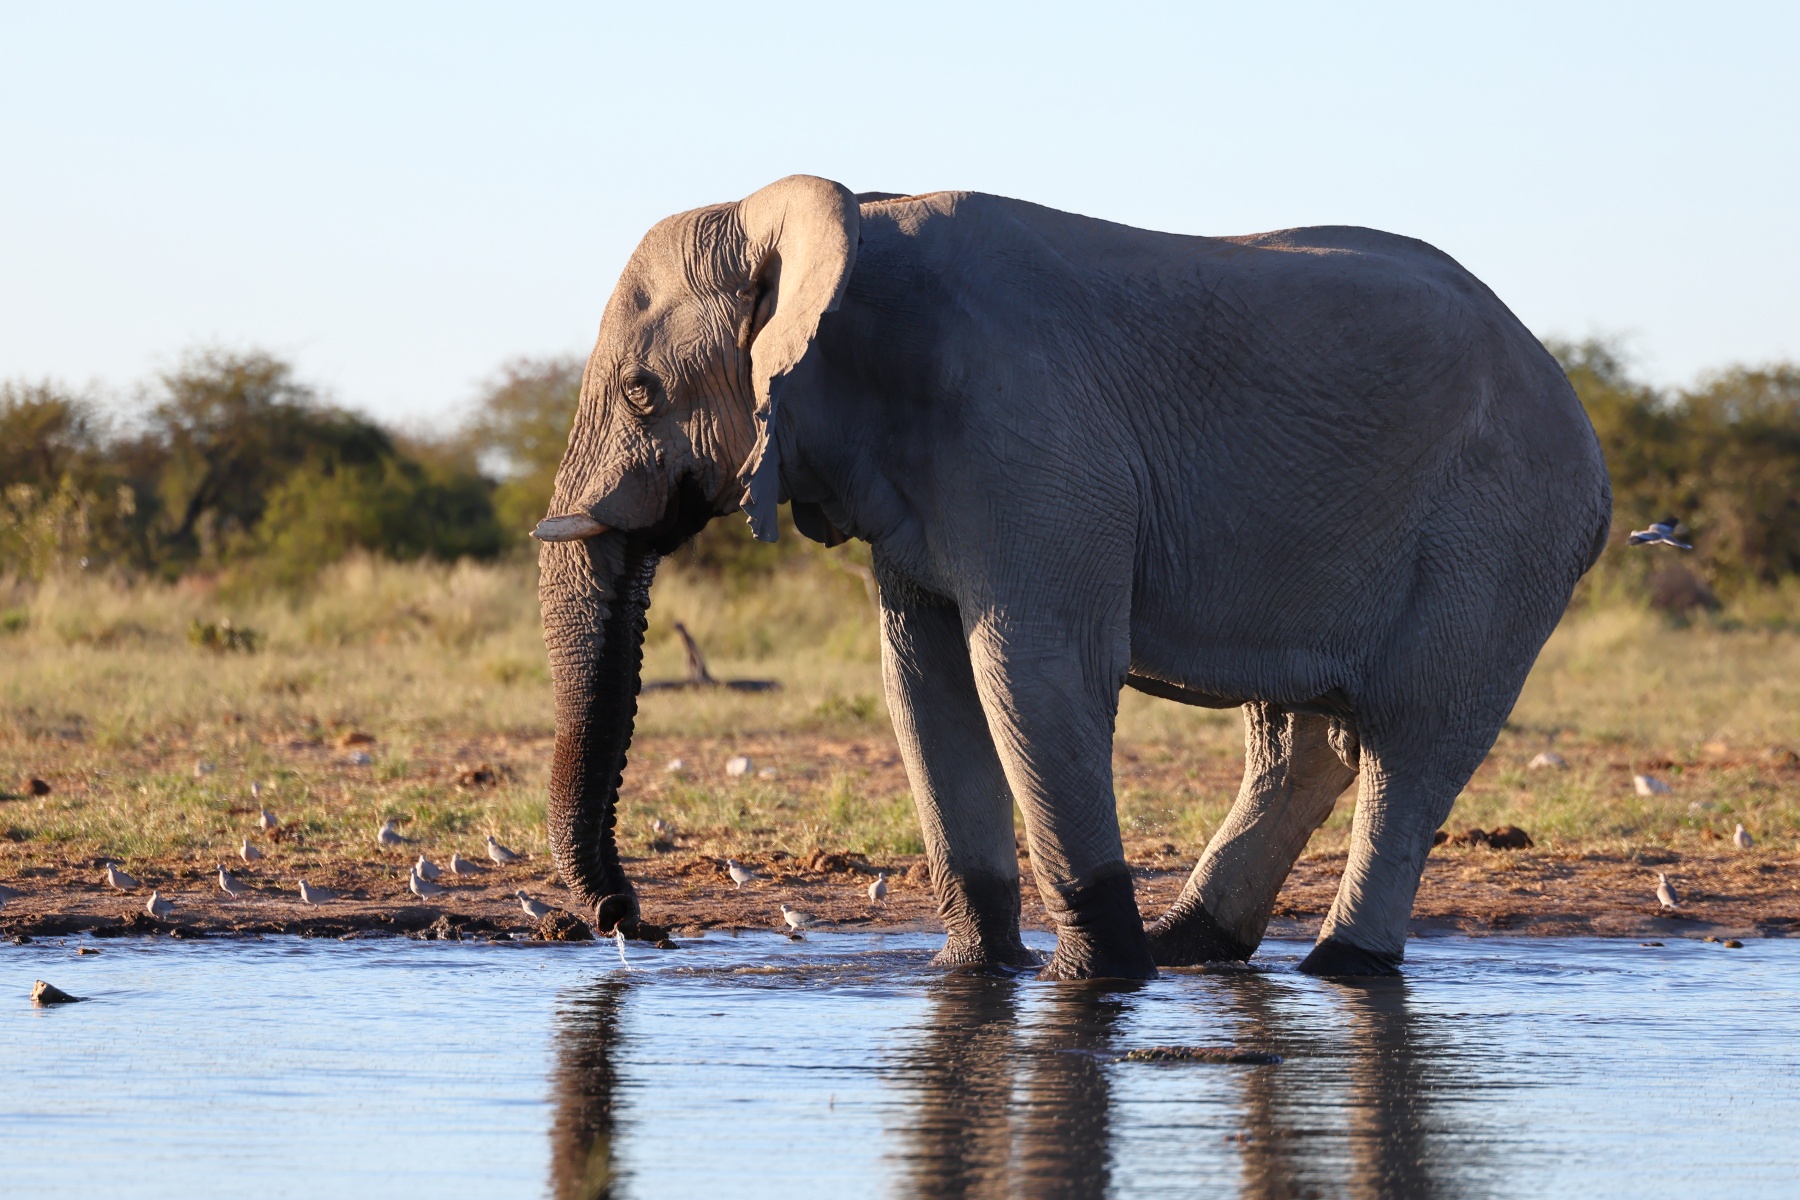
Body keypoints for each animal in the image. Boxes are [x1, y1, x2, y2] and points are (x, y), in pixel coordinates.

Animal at [534, 175, 1611, 979]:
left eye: (643, 393)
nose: (640, 924)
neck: (854, 229)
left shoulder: (1033, 444)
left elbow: (1031, 673)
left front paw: (1095, 983)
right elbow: (924, 687)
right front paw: (977, 974)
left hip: (1498, 530)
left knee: (1415, 742)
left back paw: (1336, 966)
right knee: (1296, 736)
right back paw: (1190, 950)